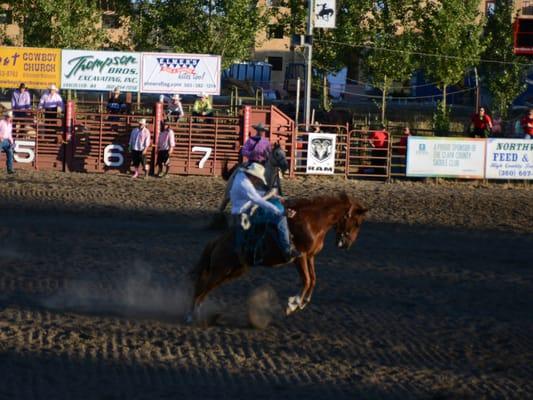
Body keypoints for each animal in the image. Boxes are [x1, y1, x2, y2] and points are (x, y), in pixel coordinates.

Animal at [189, 192, 368, 320]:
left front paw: (302, 303)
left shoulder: (310, 257)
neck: (313, 222)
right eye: (357, 223)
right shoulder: (300, 257)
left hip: (232, 271)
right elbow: (306, 280)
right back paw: (193, 315)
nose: (347, 244)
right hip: (221, 270)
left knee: (205, 287)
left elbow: (313, 280)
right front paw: (293, 304)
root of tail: (218, 240)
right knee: (201, 286)